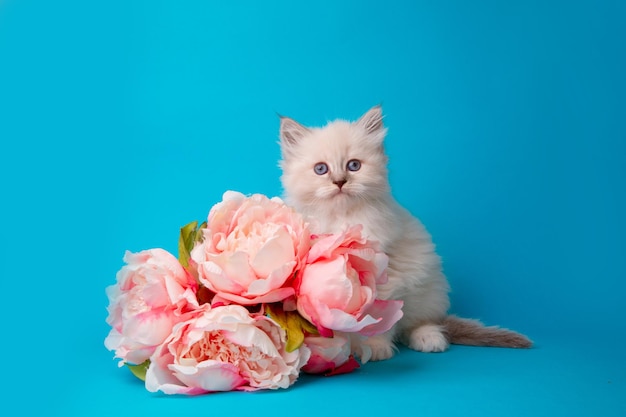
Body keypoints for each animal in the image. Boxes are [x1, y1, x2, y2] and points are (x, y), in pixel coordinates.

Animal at [276, 105, 528, 360]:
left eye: (353, 165)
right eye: (321, 169)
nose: (340, 182)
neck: (342, 219)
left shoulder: (385, 277)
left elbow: (375, 320)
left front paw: (373, 347)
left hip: (429, 290)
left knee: (422, 323)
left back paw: (429, 338)